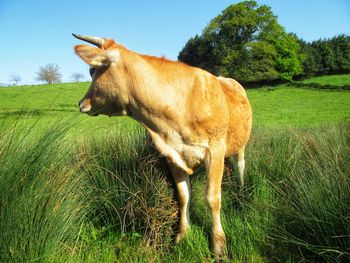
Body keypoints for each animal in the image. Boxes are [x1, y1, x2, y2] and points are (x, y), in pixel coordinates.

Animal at [73, 33, 252, 260]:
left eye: (93, 70)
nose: (81, 103)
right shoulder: (173, 156)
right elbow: (183, 196)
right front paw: (182, 236)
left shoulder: (215, 151)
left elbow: (213, 198)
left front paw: (218, 244)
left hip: (241, 143)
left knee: (240, 164)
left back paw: (242, 188)